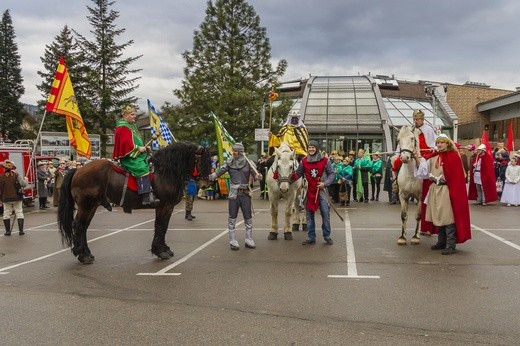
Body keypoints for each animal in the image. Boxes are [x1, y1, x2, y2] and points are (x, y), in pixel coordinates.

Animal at [57, 142, 211, 264]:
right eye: (201, 162)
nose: (205, 185)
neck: (165, 172)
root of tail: (78, 170)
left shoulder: (168, 207)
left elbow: (163, 227)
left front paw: (162, 249)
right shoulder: (164, 206)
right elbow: (161, 226)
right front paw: (161, 251)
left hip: (92, 206)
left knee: (83, 227)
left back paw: (86, 253)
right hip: (86, 206)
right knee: (79, 226)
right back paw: (83, 255)